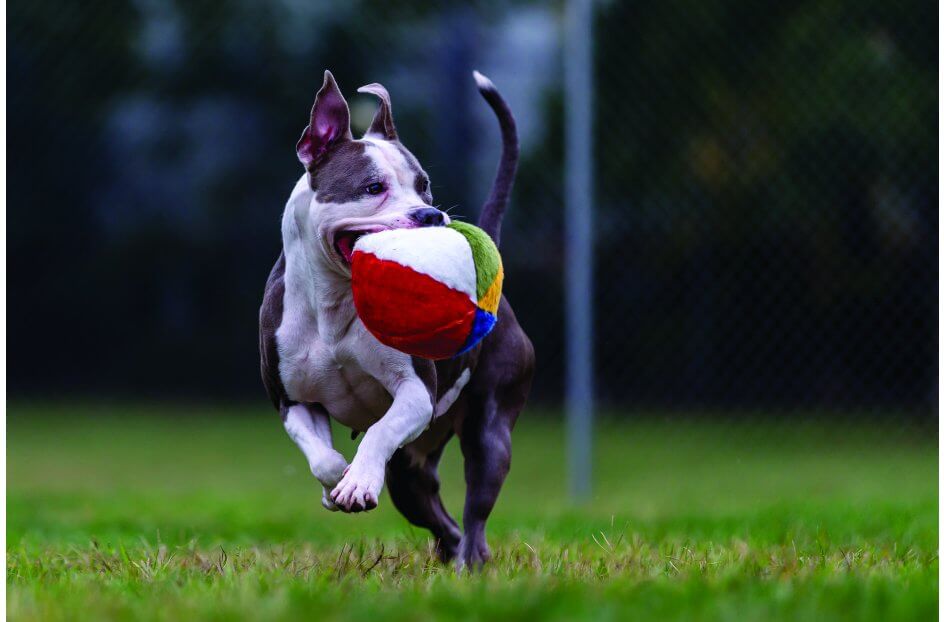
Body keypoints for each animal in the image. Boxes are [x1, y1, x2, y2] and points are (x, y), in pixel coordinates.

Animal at [258, 69, 536, 572]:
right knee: (440, 517)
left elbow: (380, 429)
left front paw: (358, 480)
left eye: (424, 185)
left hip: (489, 431)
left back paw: (469, 561)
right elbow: (320, 457)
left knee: (475, 510)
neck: (335, 301)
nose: (430, 213)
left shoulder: (415, 392)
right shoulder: (294, 401)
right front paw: (338, 482)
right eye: (372, 187)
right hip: (410, 472)